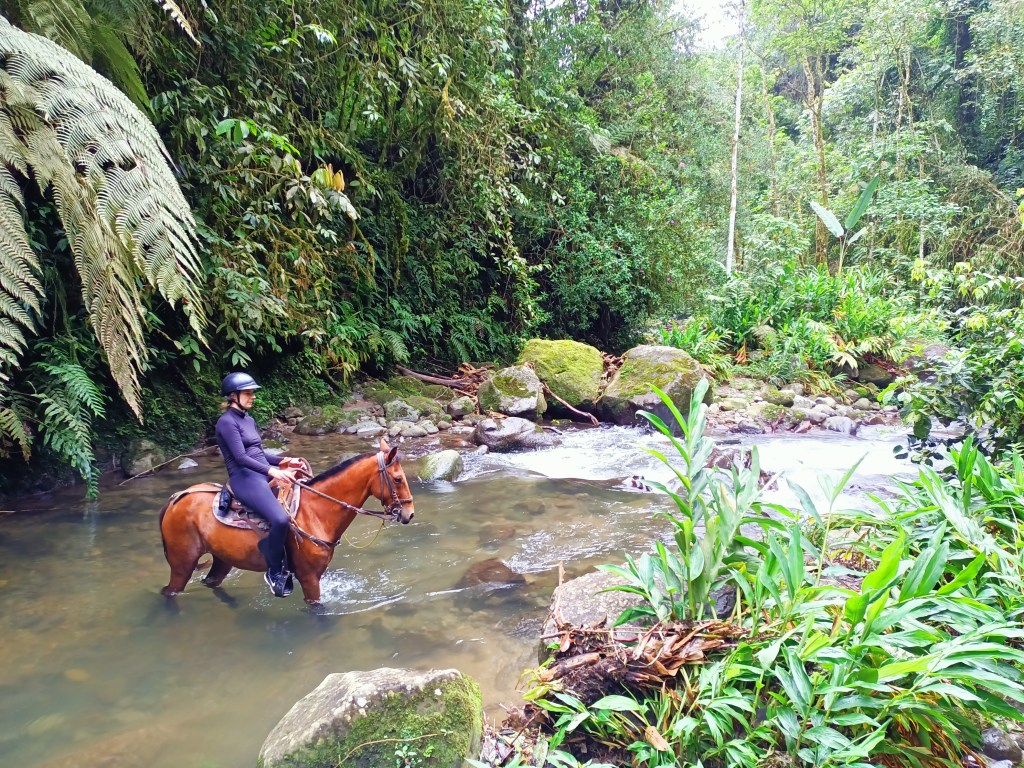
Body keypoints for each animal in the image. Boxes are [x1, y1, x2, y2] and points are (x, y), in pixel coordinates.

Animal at [158, 438, 415, 605]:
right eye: (398, 479)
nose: (409, 513)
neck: (316, 512)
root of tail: (175, 498)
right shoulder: (309, 578)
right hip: (182, 563)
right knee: (169, 591)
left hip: (222, 559)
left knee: (211, 582)